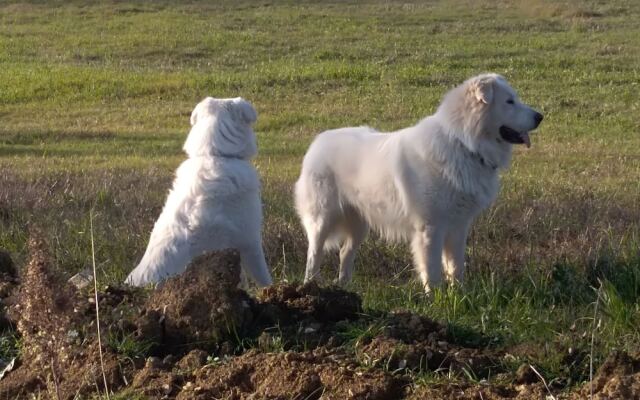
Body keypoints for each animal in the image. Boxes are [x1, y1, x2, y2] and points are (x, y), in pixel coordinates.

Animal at [294, 73, 540, 292]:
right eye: (509, 101)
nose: (540, 116)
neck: (462, 143)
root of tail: (318, 141)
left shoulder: (458, 226)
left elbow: (455, 266)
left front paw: (460, 295)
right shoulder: (430, 228)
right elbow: (432, 269)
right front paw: (436, 298)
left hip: (359, 223)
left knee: (345, 252)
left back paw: (344, 287)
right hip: (323, 218)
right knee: (314, 254)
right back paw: (310, 287)